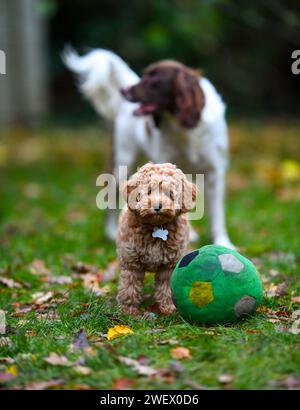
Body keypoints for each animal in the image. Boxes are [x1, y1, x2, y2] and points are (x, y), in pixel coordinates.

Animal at [63, 47, 234, 247]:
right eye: (145, 75)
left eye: (154, 80)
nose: (124, 91)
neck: (184, 128)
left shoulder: (215, 171)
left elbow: (217, 213)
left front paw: (223, 242)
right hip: (121, 163)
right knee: (112, 199)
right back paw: (111, 232)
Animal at [116, 163, 197, 314]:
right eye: (148, 191)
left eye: (169, 194)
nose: (157, 206)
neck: (155, 226)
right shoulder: (131, 263)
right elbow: (130, 286)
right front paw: (128, 309)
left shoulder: (170, 265)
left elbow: (167, 286)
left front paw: (169, 307)